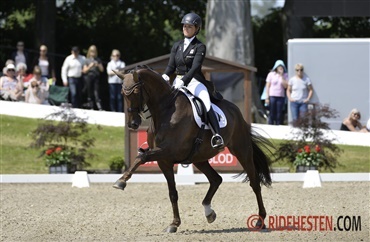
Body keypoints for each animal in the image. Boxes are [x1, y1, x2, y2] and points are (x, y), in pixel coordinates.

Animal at [114, 65, 274, 233]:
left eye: (136, 92)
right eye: (122, 94)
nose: (133, 124)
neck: (165, 111)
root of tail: (236, 110)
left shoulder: (167, 151)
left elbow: (141, 157)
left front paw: (121, 181)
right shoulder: (164, 160)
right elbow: (172, 193)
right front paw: (174, 224)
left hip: (242, 150)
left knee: (254, 183)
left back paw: (260, 221)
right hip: (199, 158)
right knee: (216, 179)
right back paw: (209, 212)